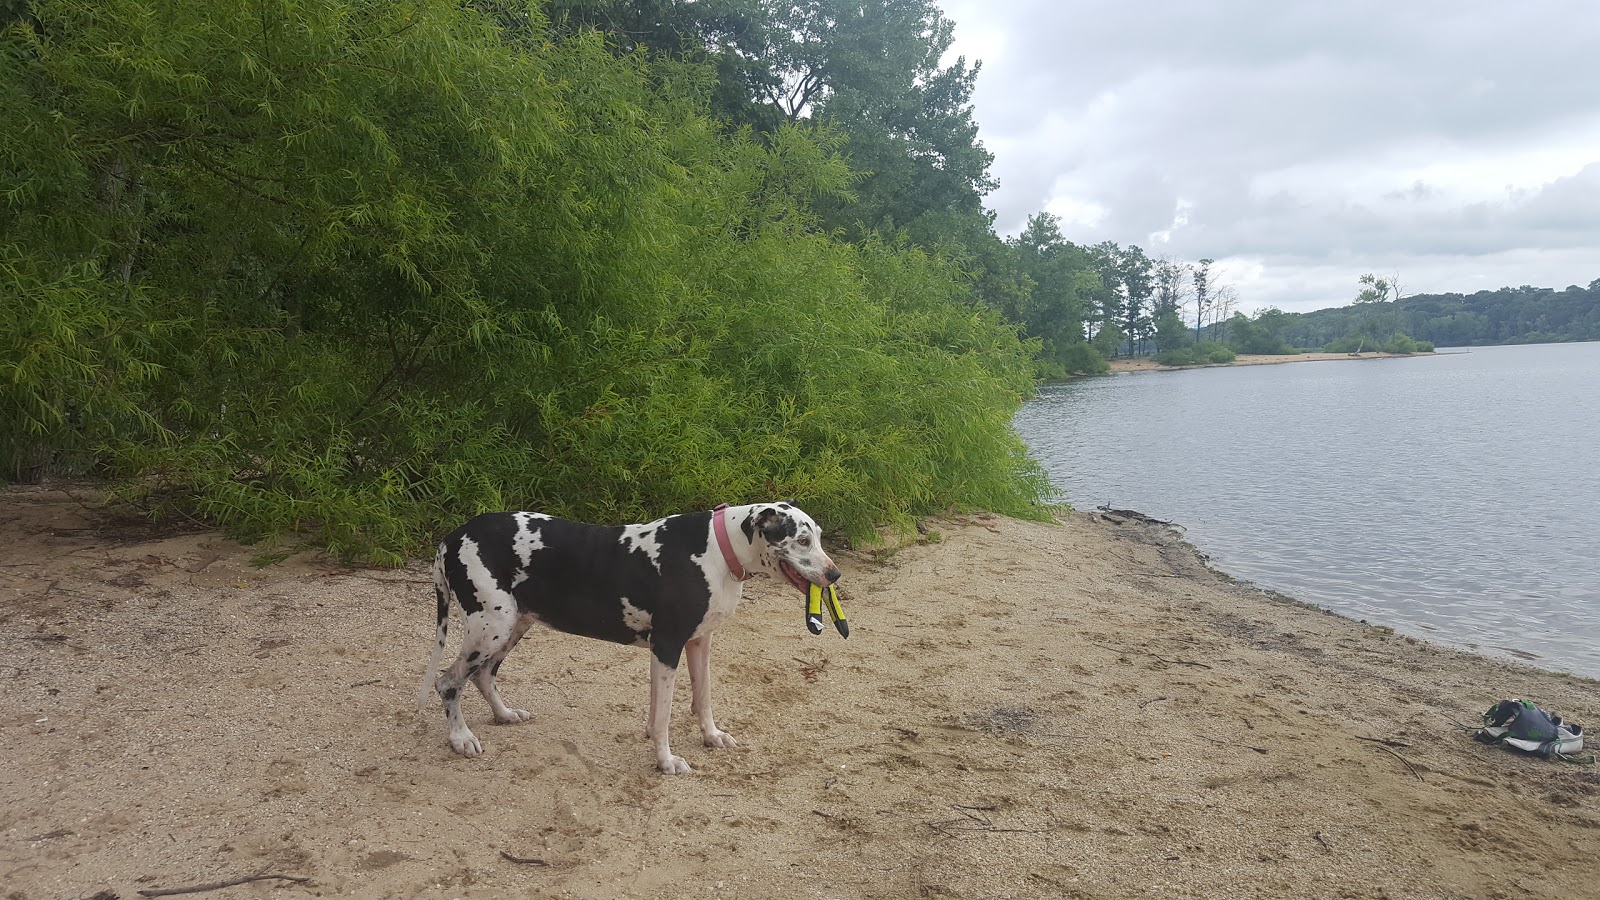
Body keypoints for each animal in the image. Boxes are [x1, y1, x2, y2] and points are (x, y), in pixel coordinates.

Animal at [412, 496, 844, 771]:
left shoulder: (698, 643)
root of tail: (452, 537)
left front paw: (711, 736)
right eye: (802, 539)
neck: (719, 551)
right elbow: (665, 714)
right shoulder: (667, 646)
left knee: (484, 674)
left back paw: (503, 715)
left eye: (819, 536)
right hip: (491, 627)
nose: (835, 574)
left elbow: (701, 698)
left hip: (513, 625)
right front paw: (666, 761)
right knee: (449, 682)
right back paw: (460, 737)